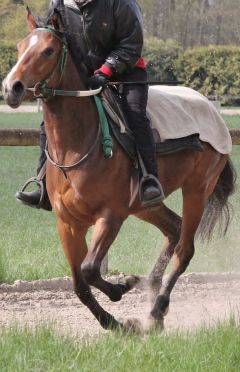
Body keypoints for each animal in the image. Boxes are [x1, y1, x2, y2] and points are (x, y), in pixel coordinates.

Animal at [1, 8, 235, 330]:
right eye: (20, 47)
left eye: (48, 50)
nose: (11, 88)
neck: (78, 143)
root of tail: (212, 110)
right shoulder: (68, 223)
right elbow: (79, 284)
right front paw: (116, 323)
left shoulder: (110, 215)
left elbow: (89, 269)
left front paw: (123, 287)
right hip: (145, 204)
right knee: (173, 229)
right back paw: (152, 291)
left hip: (197, 191)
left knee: (185, 248)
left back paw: (157, 309)